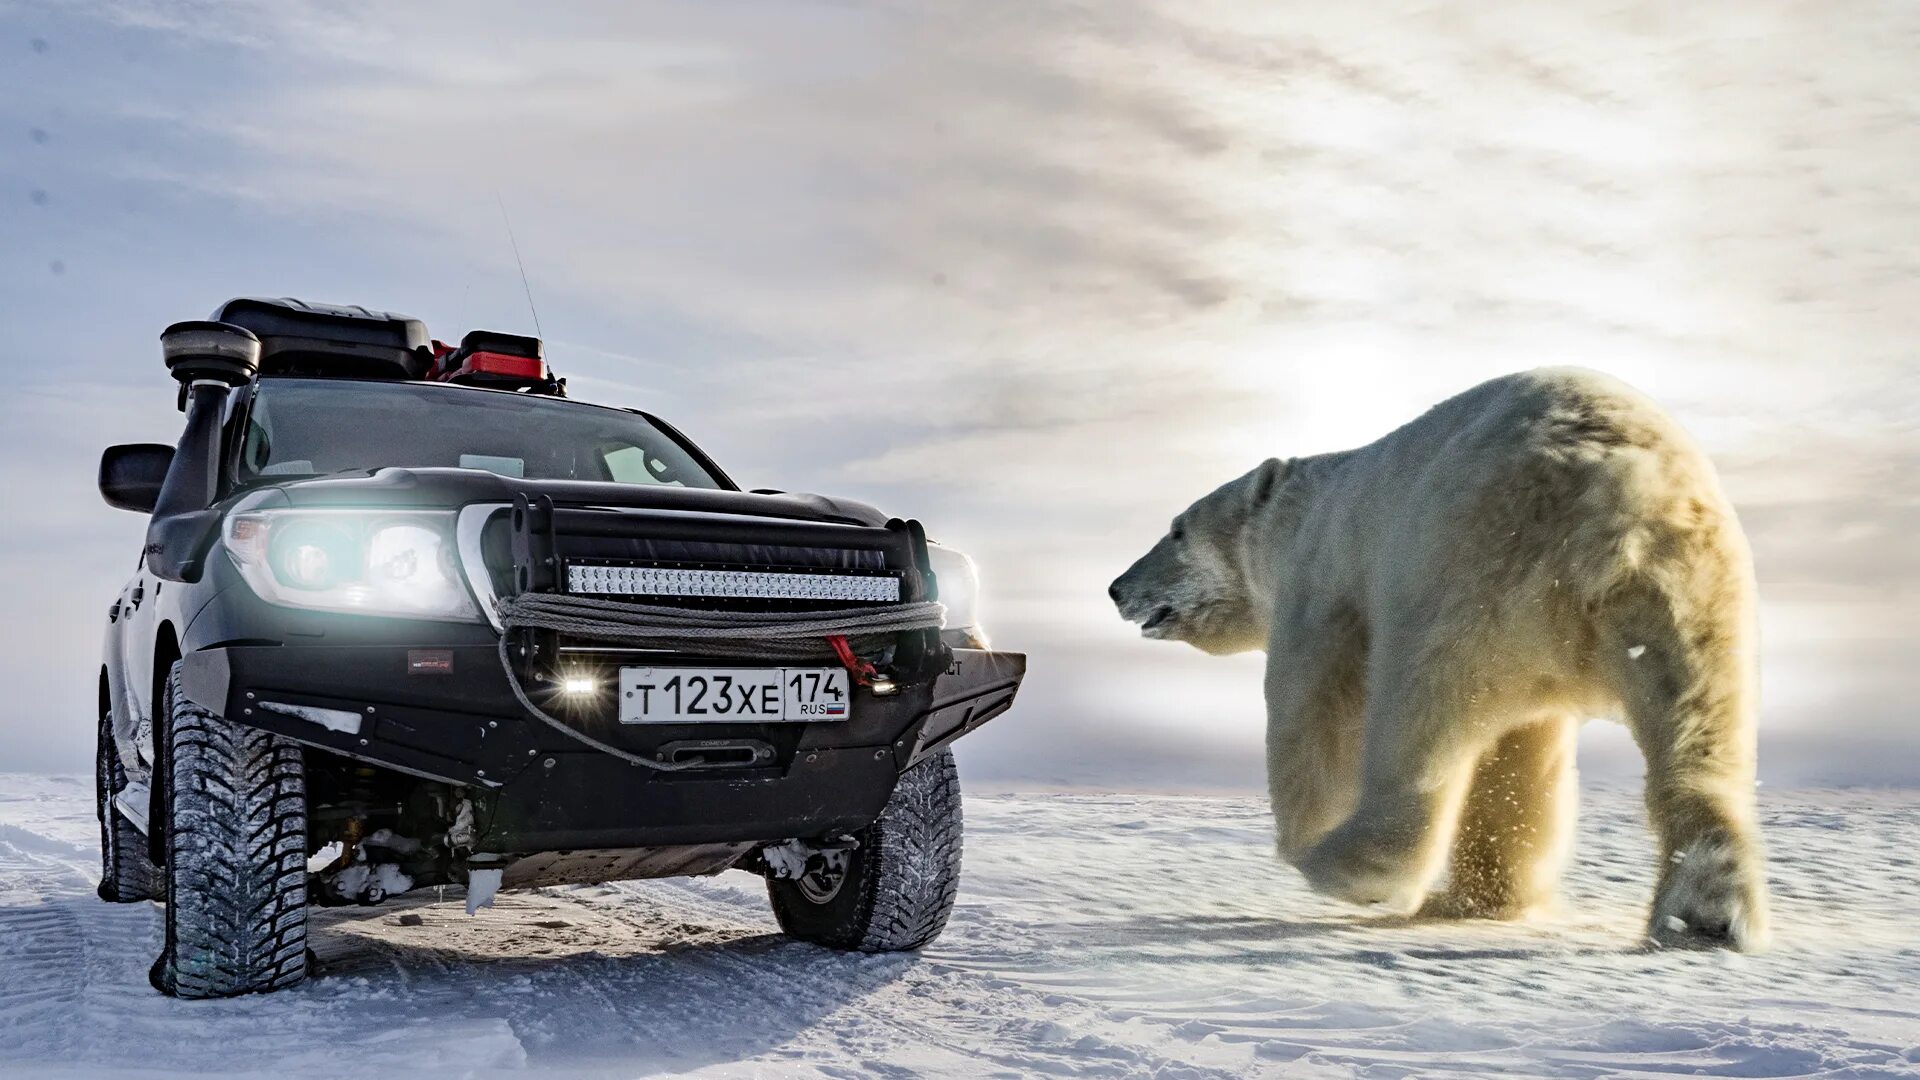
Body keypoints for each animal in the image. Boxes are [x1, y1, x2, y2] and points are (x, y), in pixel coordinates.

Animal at [1113, 368, 1766, 949]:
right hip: (1689, 594)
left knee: (1418, 719)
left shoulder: (1322, 582)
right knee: (1697, 732)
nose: (1119, 587)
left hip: (1465, 572)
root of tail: (1618, 489)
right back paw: (1703, 914)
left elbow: (1313, 711)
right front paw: (1491, 897)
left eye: (1176, 529)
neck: (1301, 512)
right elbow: (1522, 754)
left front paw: (1309, 831)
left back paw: (1351, 868)